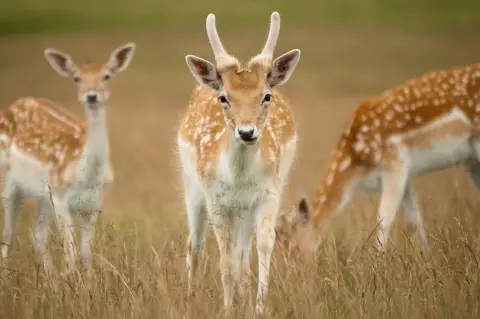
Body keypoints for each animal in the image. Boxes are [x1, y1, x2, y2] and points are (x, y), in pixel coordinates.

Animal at [0, 42, 135, 278]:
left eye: (106, 76)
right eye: (77, 78)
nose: (92, 96)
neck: (85, 174)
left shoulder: (93, 205)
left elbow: (86, 255)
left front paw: (87, 284)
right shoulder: (61, 199)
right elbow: (70, 255)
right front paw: (72, 282)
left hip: (43, 197)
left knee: (37, 236)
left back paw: (49, 280)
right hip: (8, 181)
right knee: (8, 235)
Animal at [178, 11, 302, 316]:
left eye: (266, 95)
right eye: (224, 97)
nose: (247, 132)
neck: (238, 178)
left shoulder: (269, 192)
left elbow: (263, 243)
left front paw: (258, 307)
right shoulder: (216, 198)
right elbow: (224, 259)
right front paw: (226, 309)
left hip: (246, 208)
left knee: (242, 252)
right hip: (192, 187)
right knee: (195, 243)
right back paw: (190, 298)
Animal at [276, 62, 480, 258]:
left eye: (293, 245)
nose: (295, 267)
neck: (357, 171)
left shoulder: (395, 165)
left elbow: (384, 220)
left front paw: (379, 261)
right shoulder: (405, 176)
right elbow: (415, 218)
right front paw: (428, 258)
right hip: (472, 162)